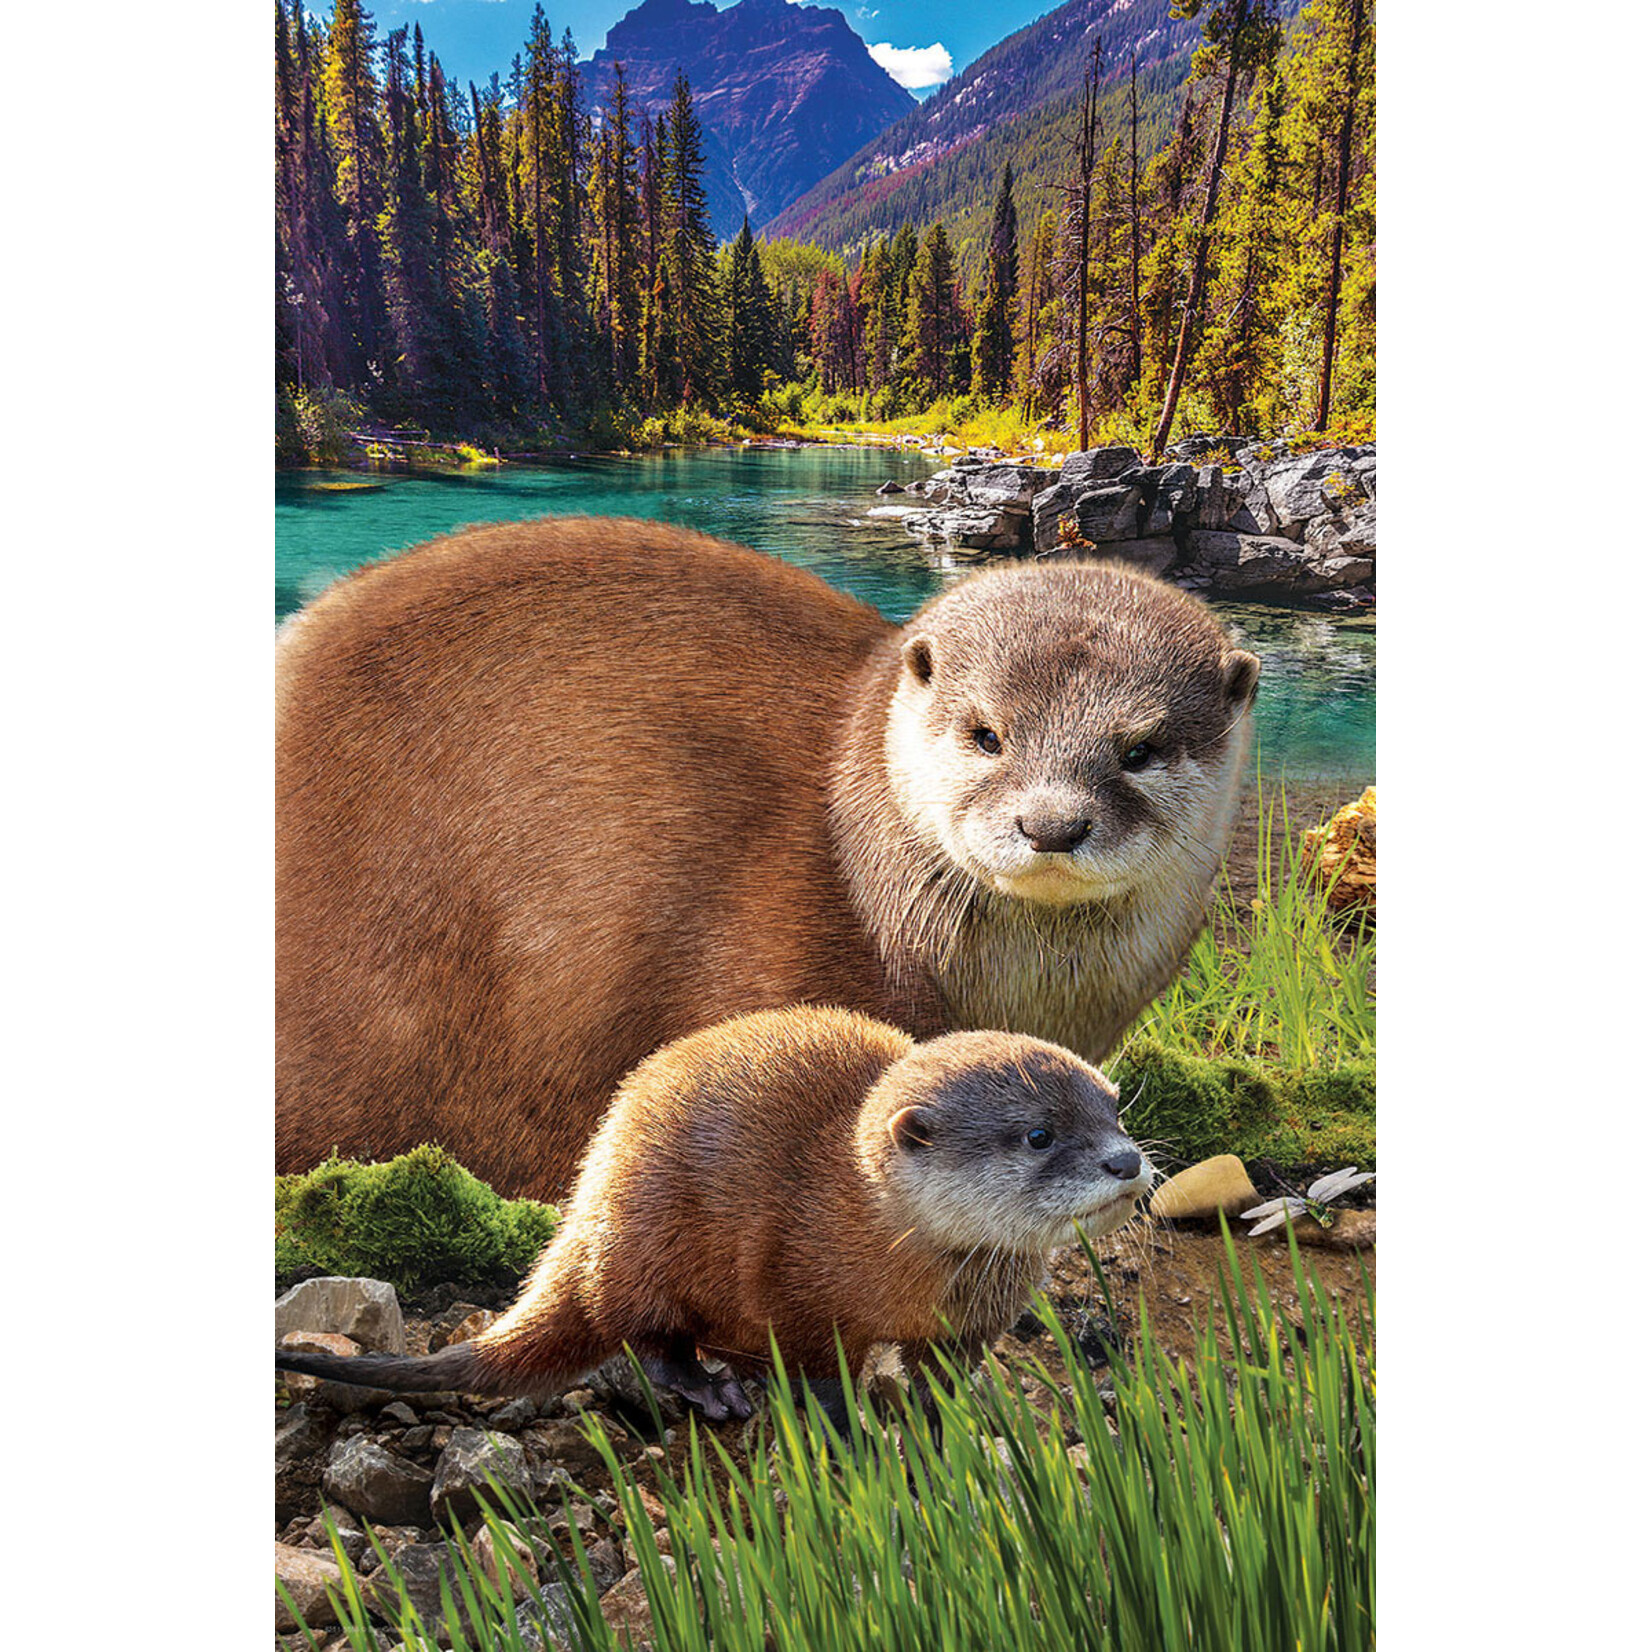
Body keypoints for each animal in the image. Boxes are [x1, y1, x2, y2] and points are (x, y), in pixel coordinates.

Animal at [275, 1007, 1153, 1418]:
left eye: (1113, 1106)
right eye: (1039, 1134)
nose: (1127, 1161)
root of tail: (589, 1201)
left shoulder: (971, 1323)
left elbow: (947, 1379)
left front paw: (962, 1418)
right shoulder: (797, 1279)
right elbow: (818, 1370)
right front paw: (851, 1428)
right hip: (647, 1237)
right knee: (645, 1336)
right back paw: (712, 1388)